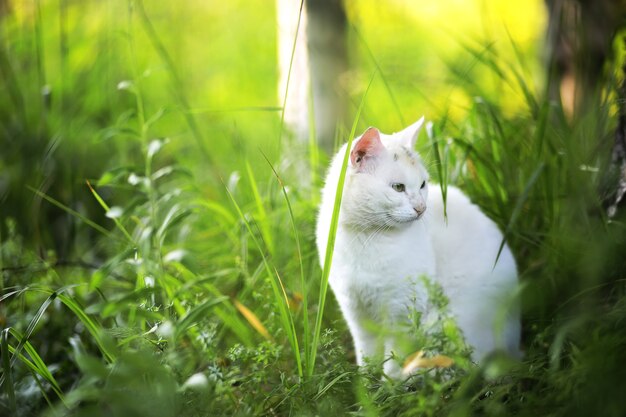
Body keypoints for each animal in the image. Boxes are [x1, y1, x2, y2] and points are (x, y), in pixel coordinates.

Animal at [314, 118, 520, 376]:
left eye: (423, 184)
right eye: (398, 187)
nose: (421, 208)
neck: (366, 238)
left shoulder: (402, 313)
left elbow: (394, 363)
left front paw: (390, 384)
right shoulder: (357, 313)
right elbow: (367, 358)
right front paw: (367, 383)